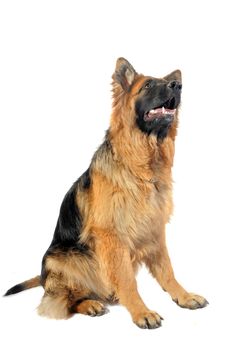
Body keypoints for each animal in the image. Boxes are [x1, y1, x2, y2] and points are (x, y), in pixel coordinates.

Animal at [4, 57, 208, 328]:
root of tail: (44, 277)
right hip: (68, 259)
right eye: (148, 85)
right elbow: (128, 281)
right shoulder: (112, 236)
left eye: (167, 83)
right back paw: (90, 304)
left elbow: (167, 271)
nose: (177, 86)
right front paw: (141, 311)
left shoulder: (154, 230)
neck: (141, 166)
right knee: (62, 300)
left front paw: (183, 296)